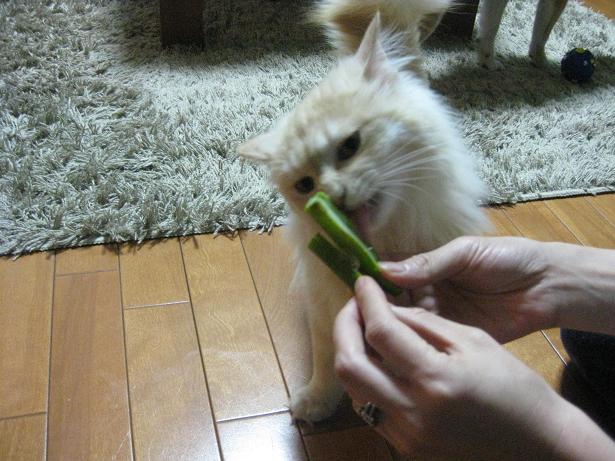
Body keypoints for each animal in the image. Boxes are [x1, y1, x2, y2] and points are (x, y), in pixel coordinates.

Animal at [237, 4, 490, 423]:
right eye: (304, 185)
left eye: (350, 146)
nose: (332, 198)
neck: (383, 241)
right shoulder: (322, 303)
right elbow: (325, 360)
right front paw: (318, 400)